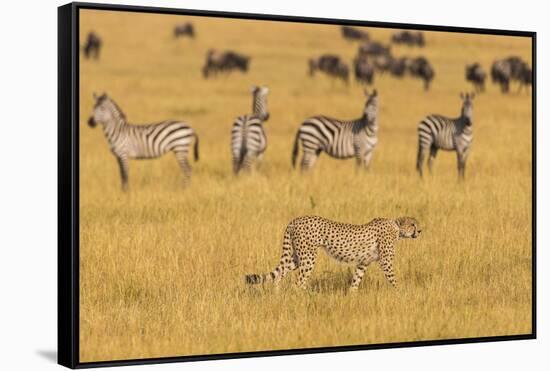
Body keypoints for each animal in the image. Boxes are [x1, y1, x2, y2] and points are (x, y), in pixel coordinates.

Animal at [246, 217, 422, 292]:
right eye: (413, 224)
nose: (420, 230)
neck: (397, 228)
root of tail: (295, 220)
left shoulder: (363, 263)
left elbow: (356, 280)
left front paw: (351, 296)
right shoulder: (386, 262)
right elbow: (393, 279)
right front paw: (402, 292)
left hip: (296, 257)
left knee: (280, 273)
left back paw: (277, 296)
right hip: (308, 257)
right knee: (298, 282)